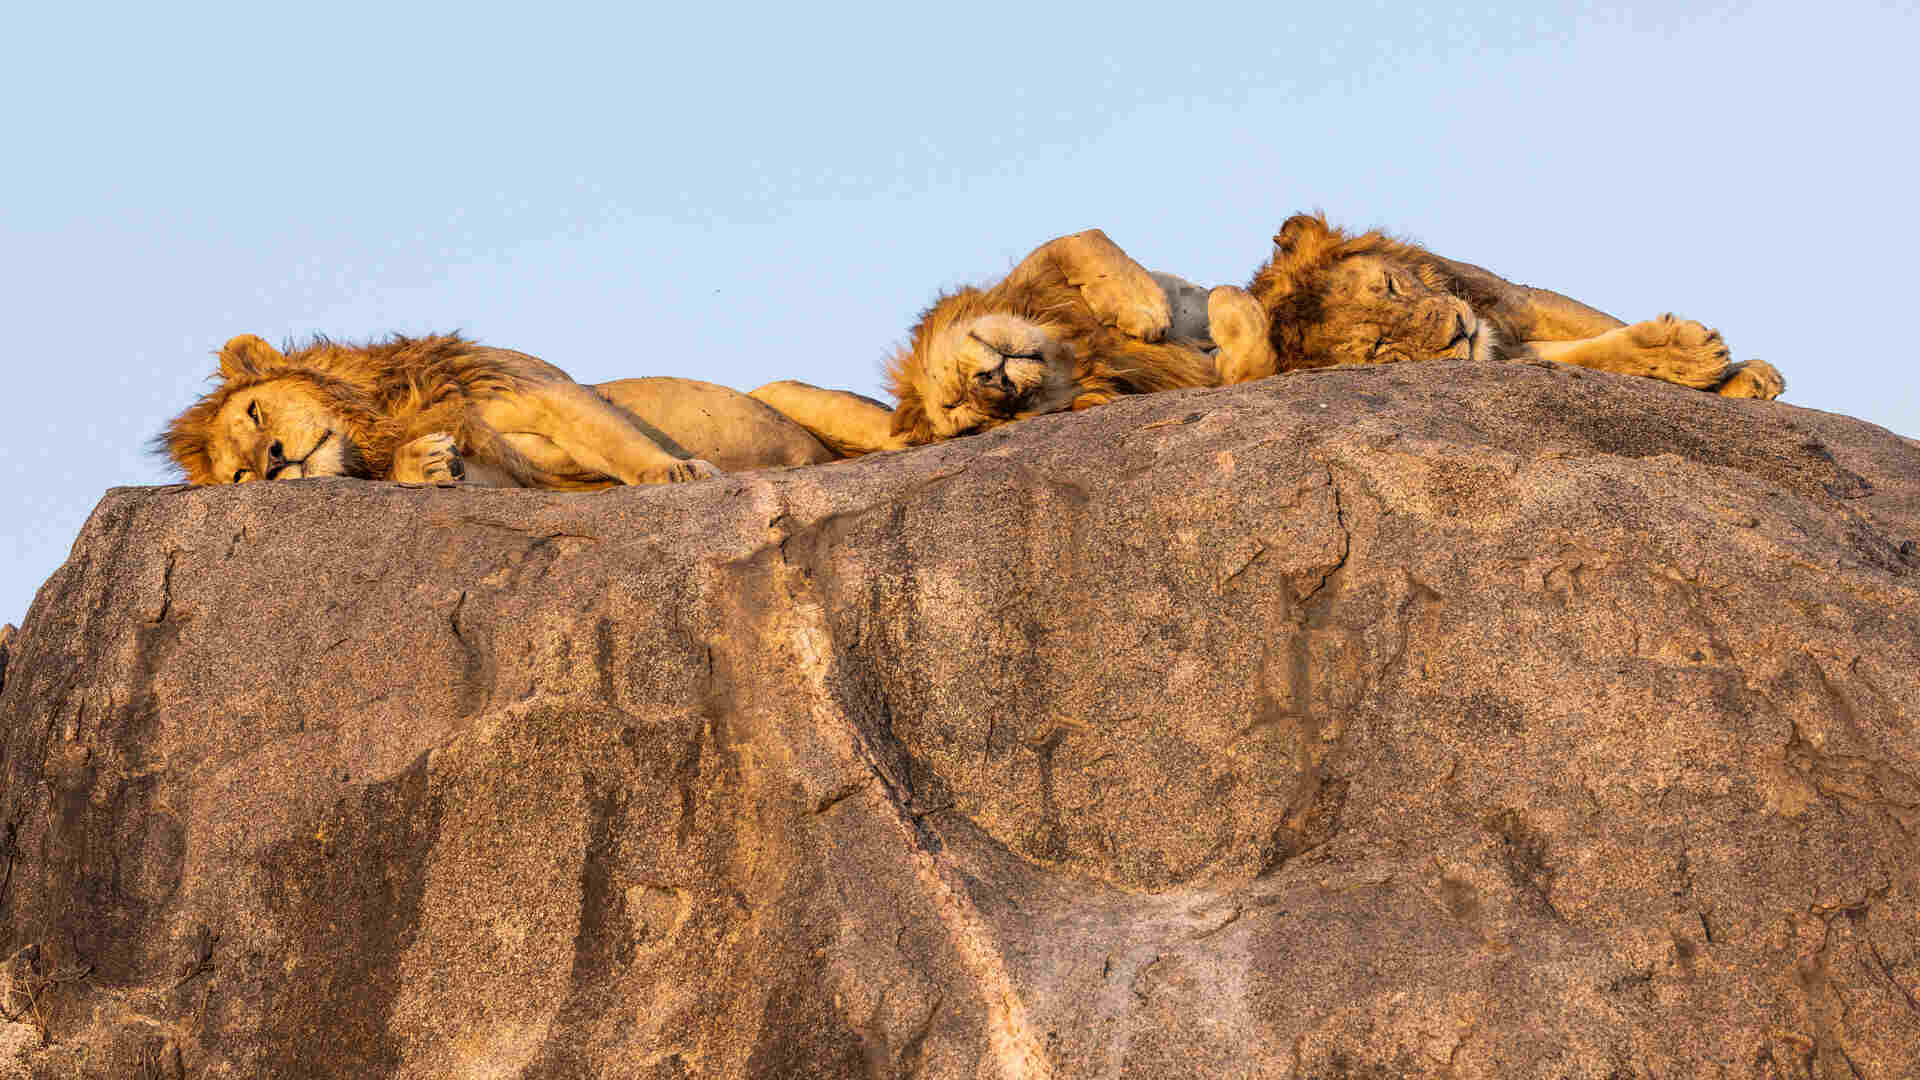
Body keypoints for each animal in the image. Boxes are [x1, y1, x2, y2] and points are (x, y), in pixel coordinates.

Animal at [879, 229, 1277, 444]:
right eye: (1003, 415)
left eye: (955, 398)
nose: (994, 381)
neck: (1078, 341)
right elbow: (1247, 359)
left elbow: (1076, 239)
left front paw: (1140, 307)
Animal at [1238, 213, 1785, 399]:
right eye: (1378, 346)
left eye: (1391, 286)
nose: (1459, 329)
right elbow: (1598, 354)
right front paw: (1691, 358)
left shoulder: (1516, 299)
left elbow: (1596, 324)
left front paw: (1743, 374)